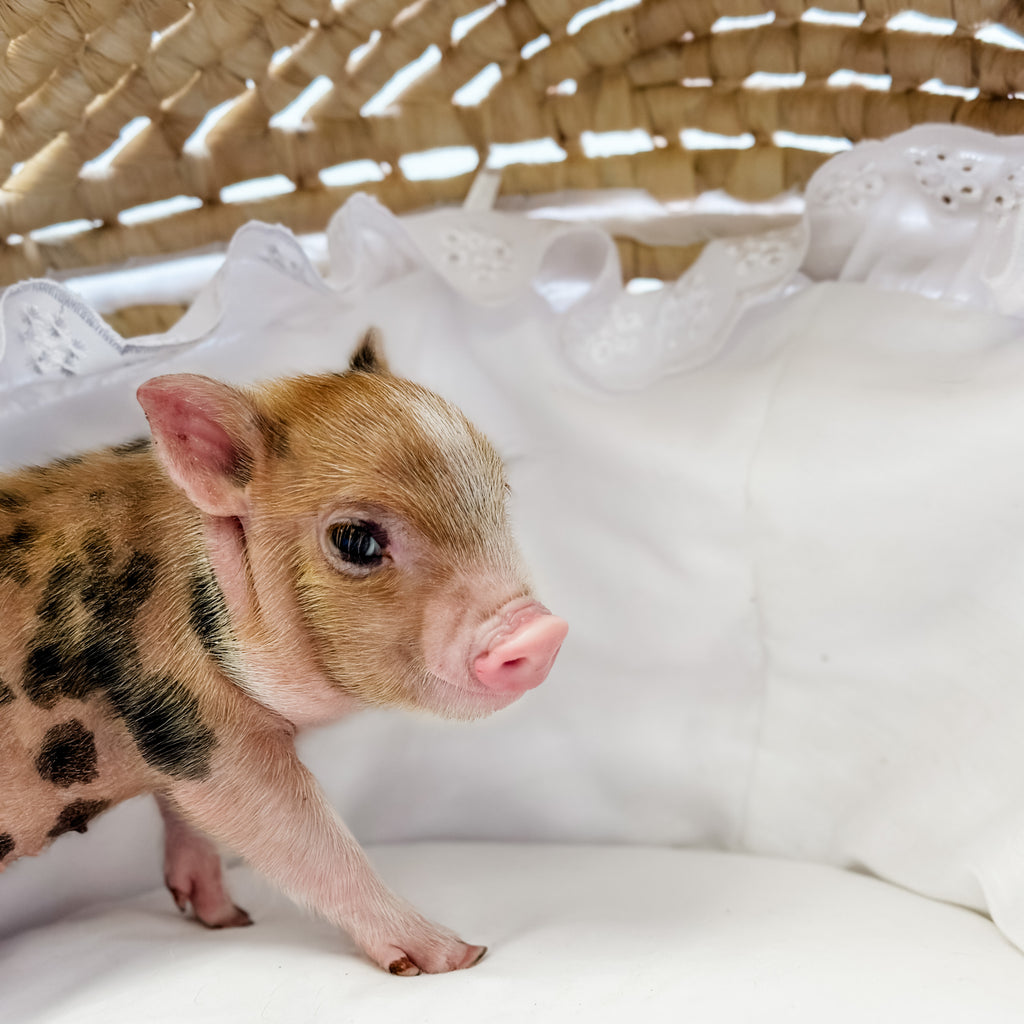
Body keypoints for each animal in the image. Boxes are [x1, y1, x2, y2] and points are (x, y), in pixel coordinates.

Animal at [0, 331, 567, 975]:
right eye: (355, 541)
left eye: (500, 495)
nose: (541, 631)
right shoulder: (199, 729)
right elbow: (304, 835)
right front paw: (459, 956)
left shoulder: (169, 739)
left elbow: (186, 813)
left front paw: (224, 921)